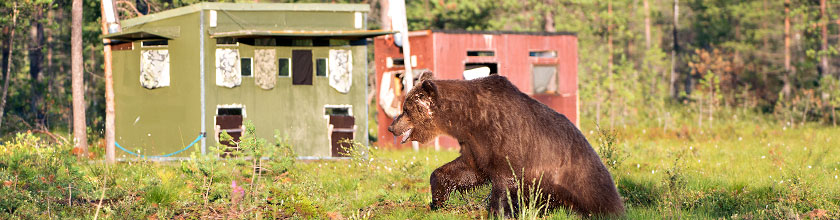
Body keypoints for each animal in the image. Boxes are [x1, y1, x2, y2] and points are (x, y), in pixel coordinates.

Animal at [388, 73, 624, 217]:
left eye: (406, 109)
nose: (391, 127)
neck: (470, 118)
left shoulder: (504, 137)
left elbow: (505, 179)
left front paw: (496, 211)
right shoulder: (475, 144)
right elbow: (466, 170)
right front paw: (437, 200)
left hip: (579, 175)